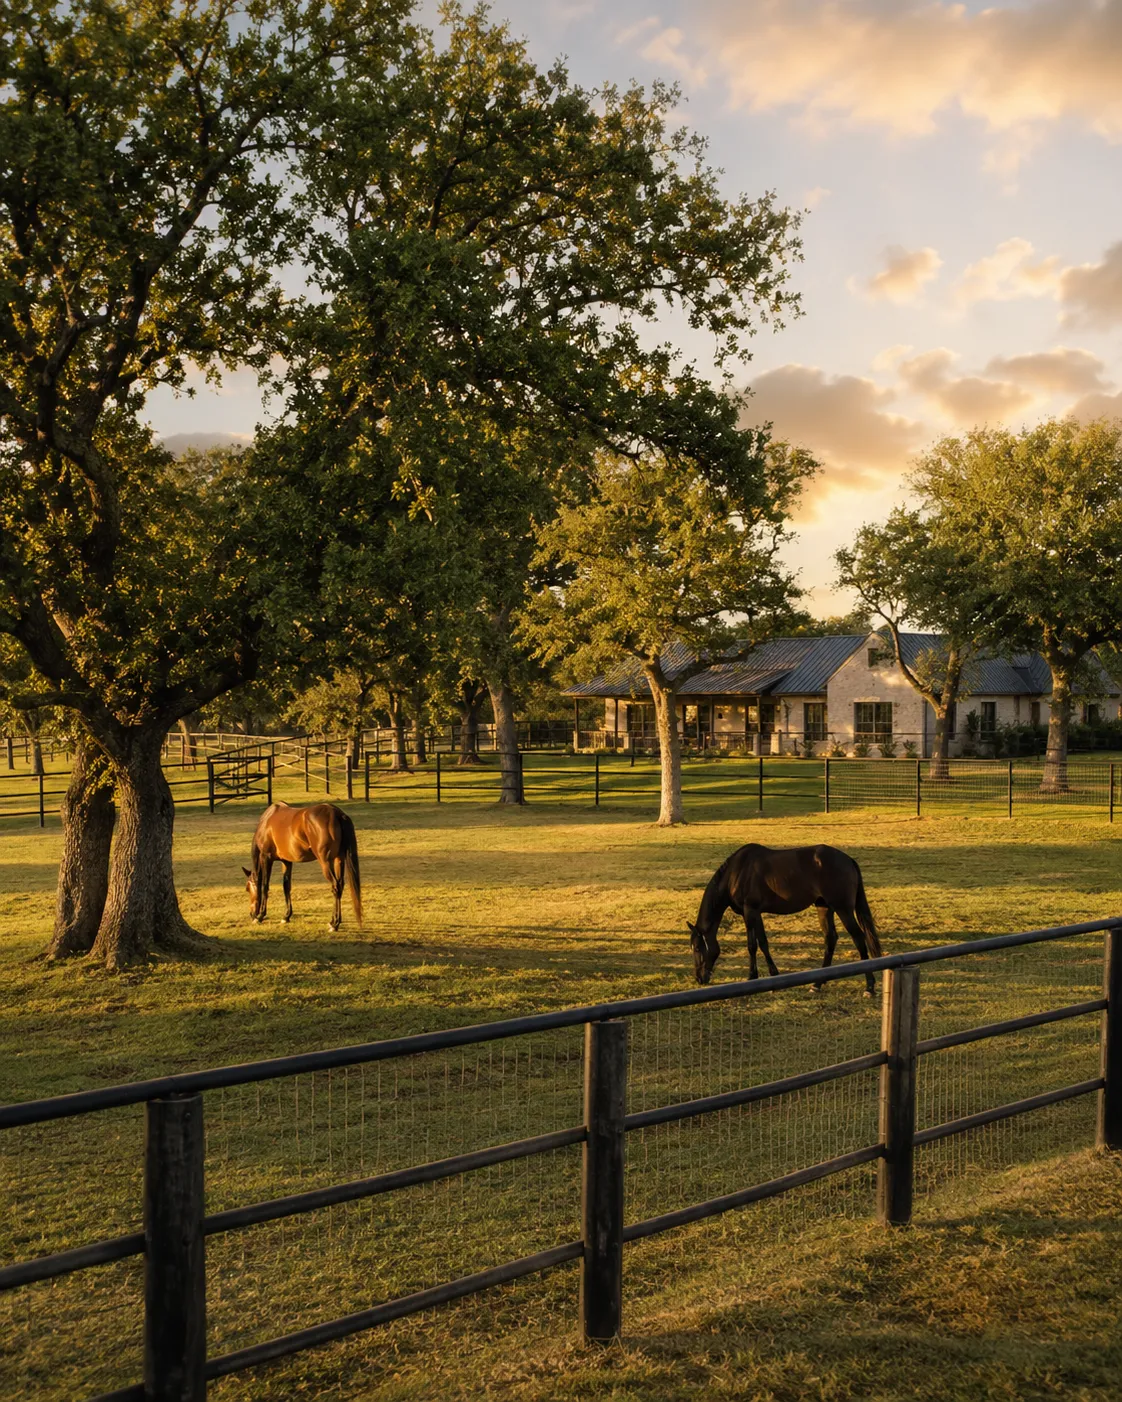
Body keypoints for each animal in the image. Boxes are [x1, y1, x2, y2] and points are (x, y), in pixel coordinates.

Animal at [243, 801, 362, 932]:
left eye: (247, 889)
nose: (251, 914)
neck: (265, 823)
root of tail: (337, 814)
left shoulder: (266, 857)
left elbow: (264, 886)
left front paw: (260, 916)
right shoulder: (286, 861)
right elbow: (286, 886)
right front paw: (286, 916)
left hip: (325, 861)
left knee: (336, 887)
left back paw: (335, 924)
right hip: (338, 859)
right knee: (340, 885)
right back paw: (333, 921)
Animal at [687, 842, 882, 994]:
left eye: (697, 948)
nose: (699, 978)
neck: (737, 872)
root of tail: (848, 860)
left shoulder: (749, 911)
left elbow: (752, 945)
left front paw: (752, 976)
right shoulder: (756, 913)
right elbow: (763, 943)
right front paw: (774, 976)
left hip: (843, 909)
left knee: (858, 937)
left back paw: (869, 986)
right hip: (824, 907)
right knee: (831, 939)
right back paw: (817, 984)